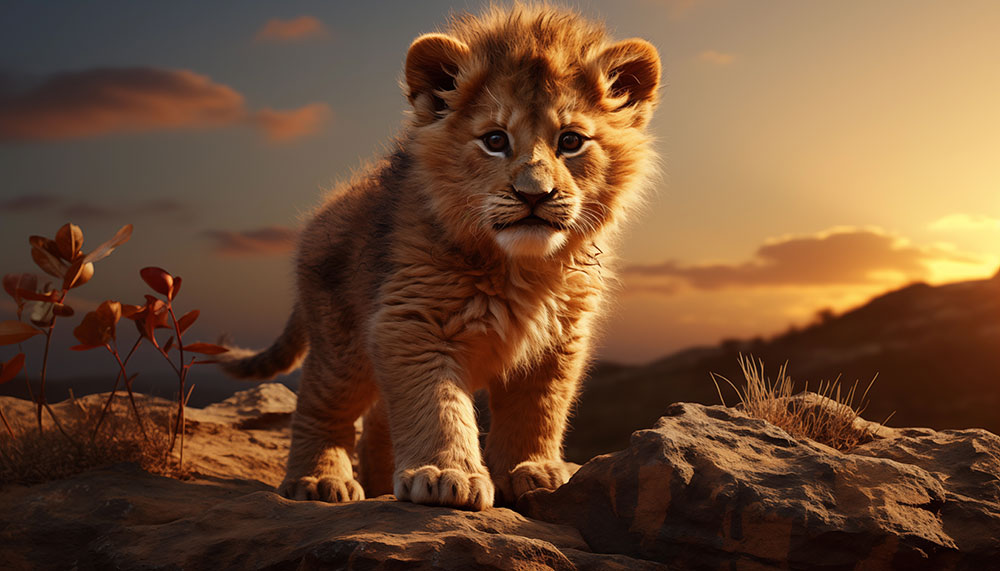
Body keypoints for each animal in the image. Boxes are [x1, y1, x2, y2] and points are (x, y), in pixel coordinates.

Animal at [220, 4, 660, 511]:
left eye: (571, 141)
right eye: (494, 140)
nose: (535, 194)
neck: (524, 268)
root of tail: (319, 215)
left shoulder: (560, 341)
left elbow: (538, 410)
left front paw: (532, 470)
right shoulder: (411, 321)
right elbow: (437, 407)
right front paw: (445, 475)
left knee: (379, 419)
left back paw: (379, 482)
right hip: (342, 343)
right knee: (321, 402)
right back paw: (318, 481)